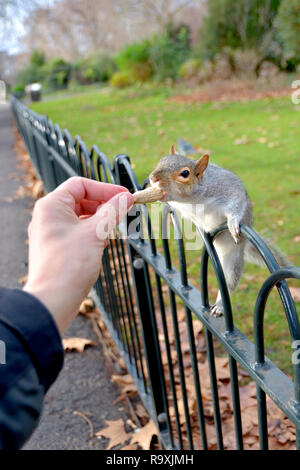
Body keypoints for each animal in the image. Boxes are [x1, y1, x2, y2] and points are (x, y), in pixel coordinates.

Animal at [149, 145, 286, 318]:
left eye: (185, 173)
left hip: (233, 257)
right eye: (161, 160)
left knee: (229, 282)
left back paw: (220, 305)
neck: (190, 201)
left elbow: (236, 201)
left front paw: (233, 223)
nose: (153, 178)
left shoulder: (225, 188)